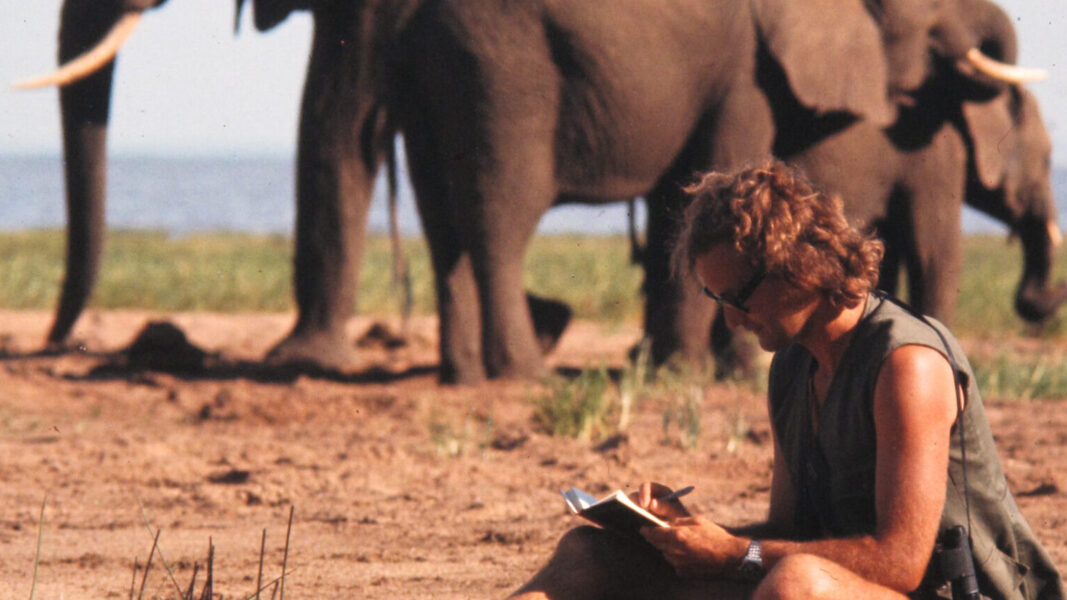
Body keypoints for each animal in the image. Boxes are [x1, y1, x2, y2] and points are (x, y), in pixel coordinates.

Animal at [37, 0, 1035, 384]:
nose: (60, 345)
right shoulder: (748, 67)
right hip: (501, 66)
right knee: (495, 212)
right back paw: (511, 371)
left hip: (470, 66)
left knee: (460, 218)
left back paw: (479, 371)